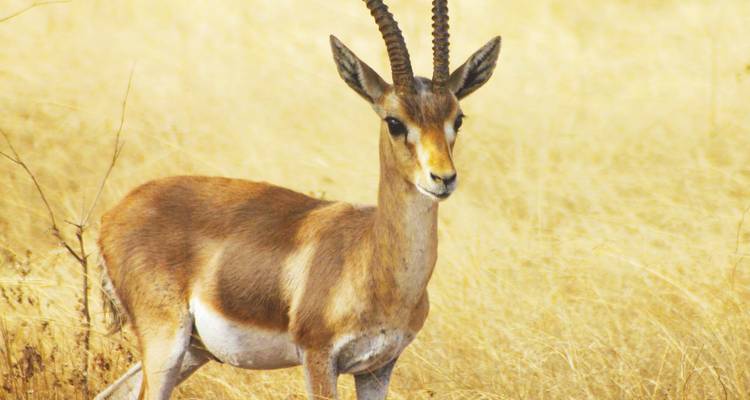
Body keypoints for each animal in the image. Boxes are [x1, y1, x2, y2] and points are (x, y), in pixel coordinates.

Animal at [95, 0, 501, 399]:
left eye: (457, 118)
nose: (443, 178)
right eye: (394, 121)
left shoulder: (378, 367)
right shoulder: (318, 356)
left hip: (194, 352)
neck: (374, 261)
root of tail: (113, 215)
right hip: (167, 340)